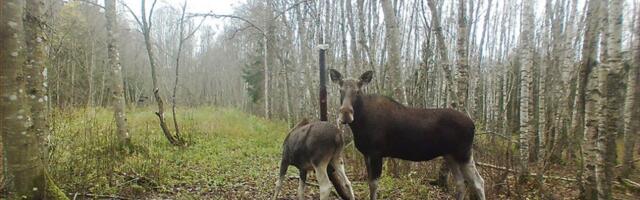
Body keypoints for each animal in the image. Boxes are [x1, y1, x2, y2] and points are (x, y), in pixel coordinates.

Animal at [330, 69, 484, 200]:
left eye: (358, 91)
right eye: (340, 90)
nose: (345, 114)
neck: (360, 123)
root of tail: (473, 124)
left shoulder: (376, 153)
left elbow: (374, 185)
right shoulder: (367, 154)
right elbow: (370, 183)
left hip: (463, 153)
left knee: (478, 182)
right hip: (450, 155)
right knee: (461, 183)